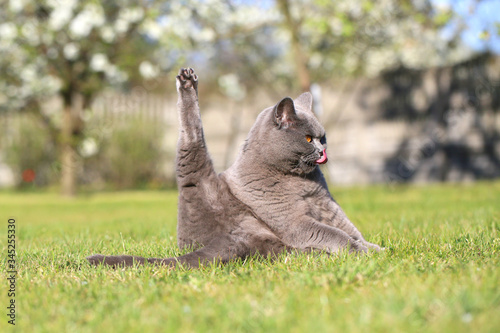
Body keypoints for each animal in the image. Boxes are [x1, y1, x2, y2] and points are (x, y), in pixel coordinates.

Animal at [88, 68, 380, 268]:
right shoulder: (294, 222)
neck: (302, 182)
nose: (323, 152)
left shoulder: (327, 205)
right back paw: (187, 83)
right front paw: (359, 251)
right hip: (195, 168)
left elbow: (348, 227)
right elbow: (333, 233)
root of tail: (227, 239)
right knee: (191, 136)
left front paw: (374, 248)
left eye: (323, 138)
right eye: (309, 139)